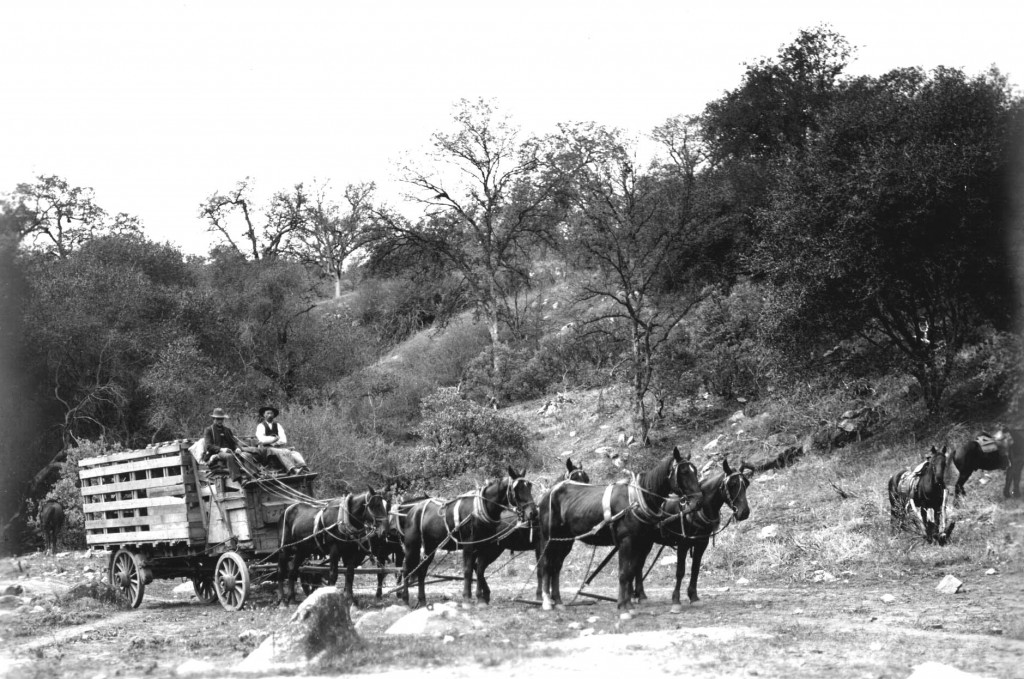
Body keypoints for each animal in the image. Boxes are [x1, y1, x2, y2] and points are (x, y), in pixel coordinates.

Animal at [401, 467, 540, 610]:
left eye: (529, 486)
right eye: (516, 488)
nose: (533, 512)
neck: (478, 510)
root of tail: (413, 509)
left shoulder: (483, 545)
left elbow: (479, 570)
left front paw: (480, 599)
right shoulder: (468, 545)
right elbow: (468, 570)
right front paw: (467, 599)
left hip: (430, 547)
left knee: (422, 571)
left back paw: (422, 601)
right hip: (412, 545)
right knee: (405, 569)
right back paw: (405, 600)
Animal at [536, 448, 704, 618]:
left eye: (695, 471)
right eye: (683, 472)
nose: (698, 501)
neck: (635, 500)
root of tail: (548, 494)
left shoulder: (639, 542)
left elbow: (631, 572)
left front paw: (629, 605)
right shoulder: (626, 541)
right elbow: (624, 573)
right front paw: (623, 608)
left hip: (565, 540)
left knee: (556, 566)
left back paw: (558, 601)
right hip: (549, 539)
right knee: (546, 565)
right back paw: (546, 601)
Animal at [630, 458, 753, 614]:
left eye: (746, 484)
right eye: (732, 484)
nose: (744, 512)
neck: (696, 510)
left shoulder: (701, 543)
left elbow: (695, 569)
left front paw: (694, 597)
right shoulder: (683, 544)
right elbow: (680, 572)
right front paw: (676, 601)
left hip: (647, 542)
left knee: (638, 565)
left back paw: (639, 595)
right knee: (637, 564)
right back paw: (636, 595)